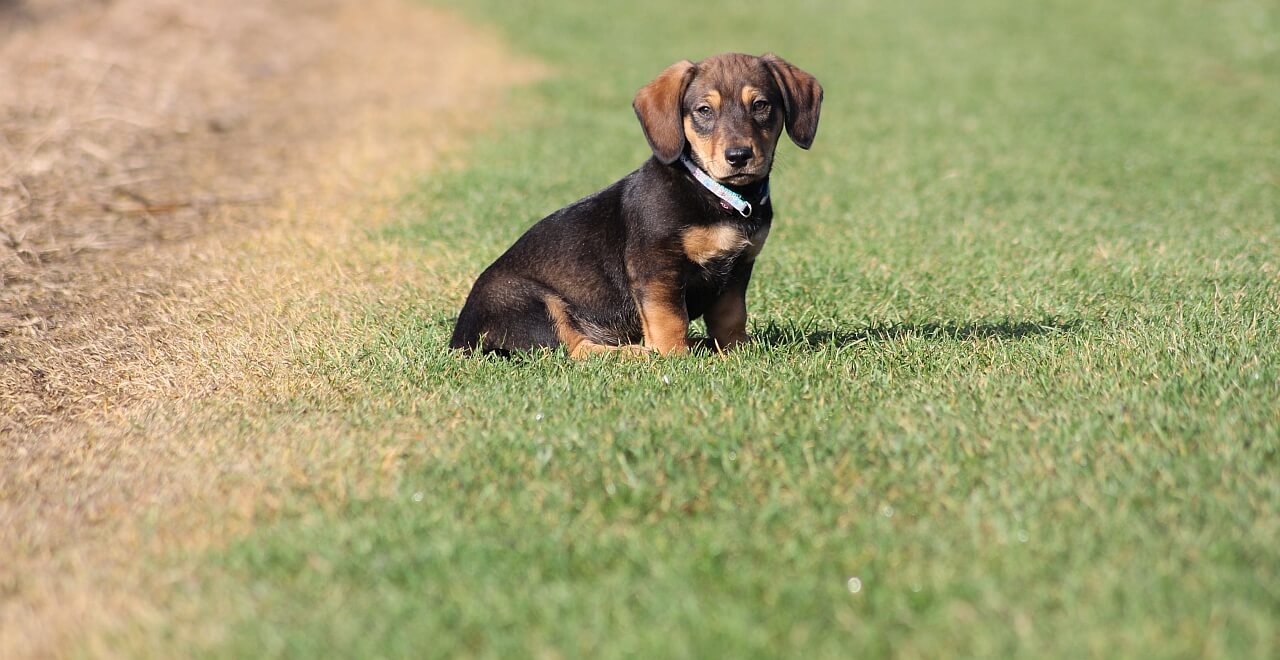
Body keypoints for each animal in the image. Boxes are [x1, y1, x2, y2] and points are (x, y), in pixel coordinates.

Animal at [450, 53, 824, 358]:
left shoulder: (739, 267)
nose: (738, 156)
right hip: (529, 302)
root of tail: (459, 339)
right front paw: (673, 355)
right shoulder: (656, 267)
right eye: (704, 110)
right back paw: (639, 352)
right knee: (575, 350)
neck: (718, 195)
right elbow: (670, 317)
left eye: (760, 105)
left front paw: (734, 350)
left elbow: (731, 316)